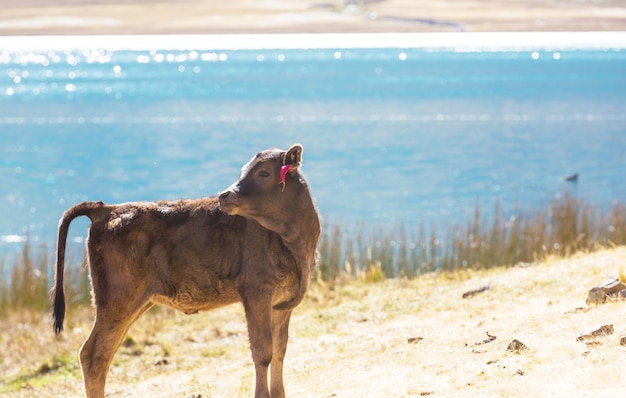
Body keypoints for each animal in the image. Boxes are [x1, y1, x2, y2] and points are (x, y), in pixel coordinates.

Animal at [51, 145, 320, 398]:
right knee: (94, 355)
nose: (224, 195)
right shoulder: (256, 293)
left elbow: (280, 350)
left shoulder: (282, 302)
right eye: (244, 171)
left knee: (102, 353)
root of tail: (106, 209)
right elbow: (262, 352)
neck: (295, 241)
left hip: (135, 302)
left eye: (264, 172)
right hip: (117, 300)